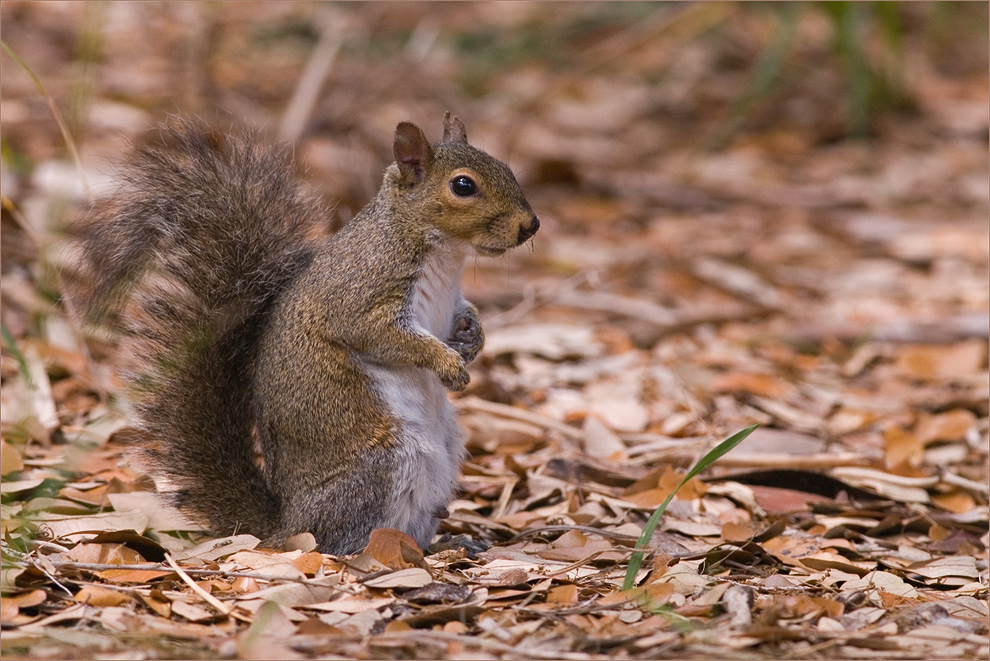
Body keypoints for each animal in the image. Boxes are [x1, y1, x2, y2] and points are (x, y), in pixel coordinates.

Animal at [72, 113, 540, 552]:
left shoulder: (451, 300)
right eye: (463, 186)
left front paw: (473, 339)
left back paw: (448, 543)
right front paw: (447, 362)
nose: (530, 225)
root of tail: (288, 525)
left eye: (506, 168)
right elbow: (384, 336)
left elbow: (464, 315)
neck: (443, 254)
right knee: (343, 539)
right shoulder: (360, 293)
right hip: (384, 462)